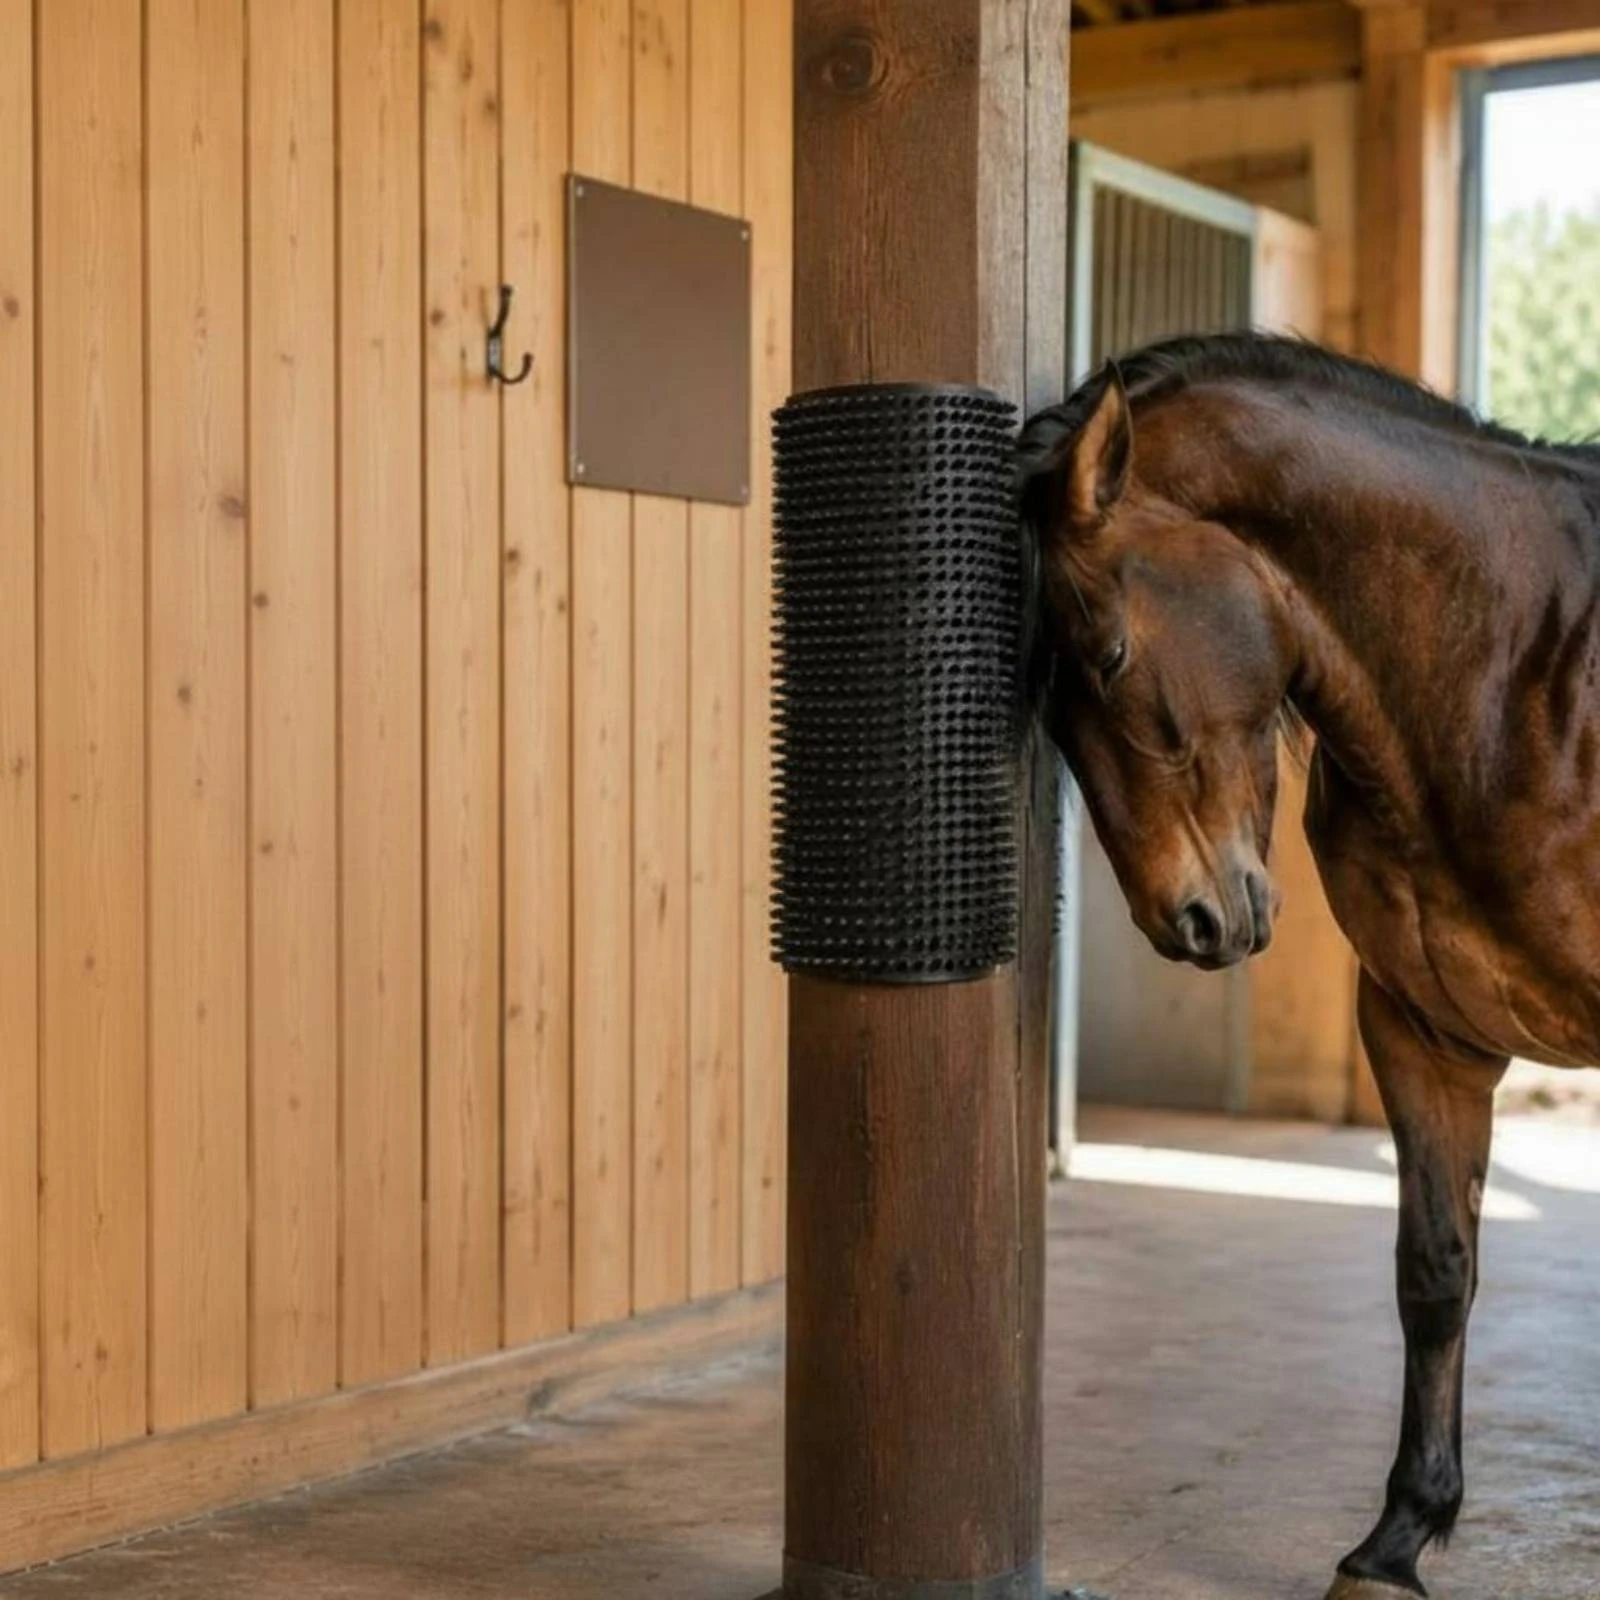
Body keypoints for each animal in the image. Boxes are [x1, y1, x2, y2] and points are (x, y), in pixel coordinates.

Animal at [1019, 331, 1600, 1600]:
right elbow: (1433, 1271)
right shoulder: (1424, 1031)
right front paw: (1392, 1543)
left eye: (1110, 651)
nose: (1188, 919)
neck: (1519, 680)